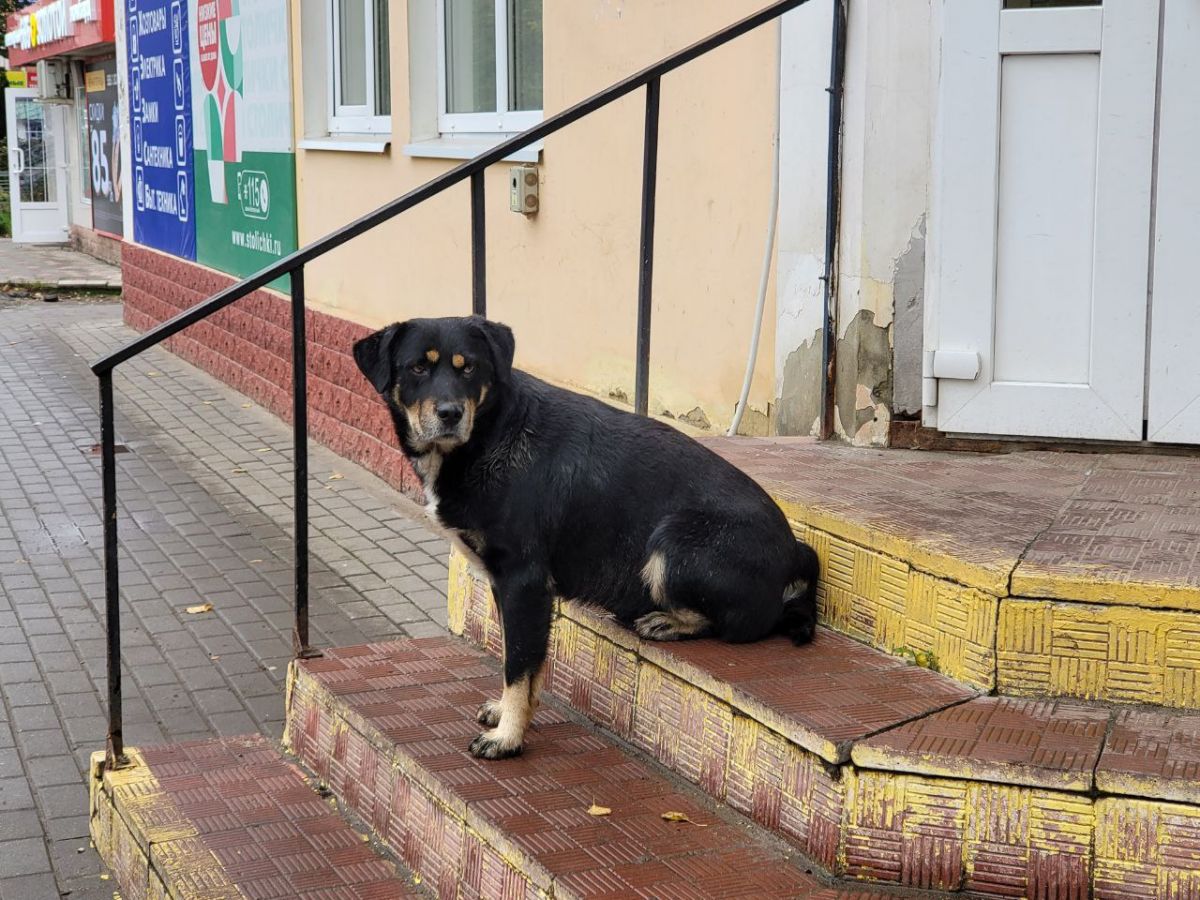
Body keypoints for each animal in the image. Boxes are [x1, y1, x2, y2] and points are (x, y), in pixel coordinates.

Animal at [350, 316, 820, 763]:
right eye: (418, 367)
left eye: (470, 369)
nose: (449, 413)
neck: (489, 434)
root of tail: (795, 550)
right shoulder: (512, 589)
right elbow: (523, 660)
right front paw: (511, 715)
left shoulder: (524, 581)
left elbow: (517, 664)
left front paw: (507, 738)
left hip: (671, 544)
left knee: (750, 622)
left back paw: (668, 620)